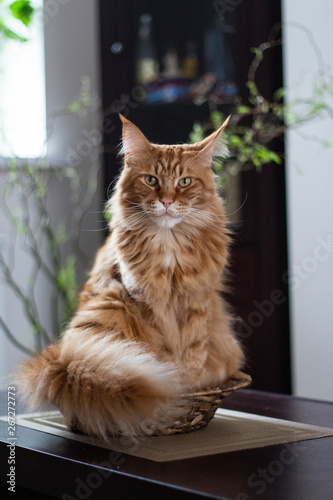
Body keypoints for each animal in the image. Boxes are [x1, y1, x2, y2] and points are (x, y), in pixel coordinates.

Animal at [16, 113, 243, 438]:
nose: (166, 202)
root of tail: (63, 363)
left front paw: (188, 387)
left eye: (184, 182)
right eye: (151, 180)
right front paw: (172, 389)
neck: (169, 247)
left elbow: (192, 357)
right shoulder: (144, 302)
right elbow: (163, 354)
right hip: (110, 303)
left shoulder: (197, 303)